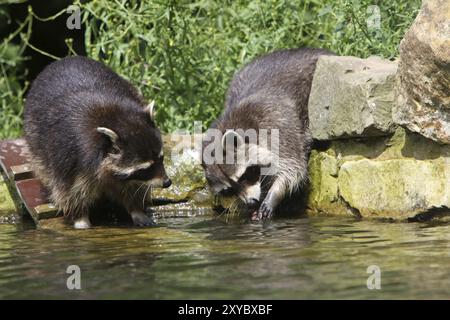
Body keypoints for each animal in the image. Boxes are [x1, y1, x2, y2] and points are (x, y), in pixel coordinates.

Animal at [24, 56, 172, 229]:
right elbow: (71, 191)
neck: (114, 117)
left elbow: (134, 188)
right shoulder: (69, 156)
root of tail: (67, 59)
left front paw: (137, 210)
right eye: (145, 168)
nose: (167, 182)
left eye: (161, 158)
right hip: (35, 136)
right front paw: (80, 218)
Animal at [202, 47, 332, 220]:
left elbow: (292, 169)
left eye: (244, 176)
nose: (250, 202)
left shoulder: (277, 124)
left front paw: (274, 194)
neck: (236, 124)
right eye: (228, 190)